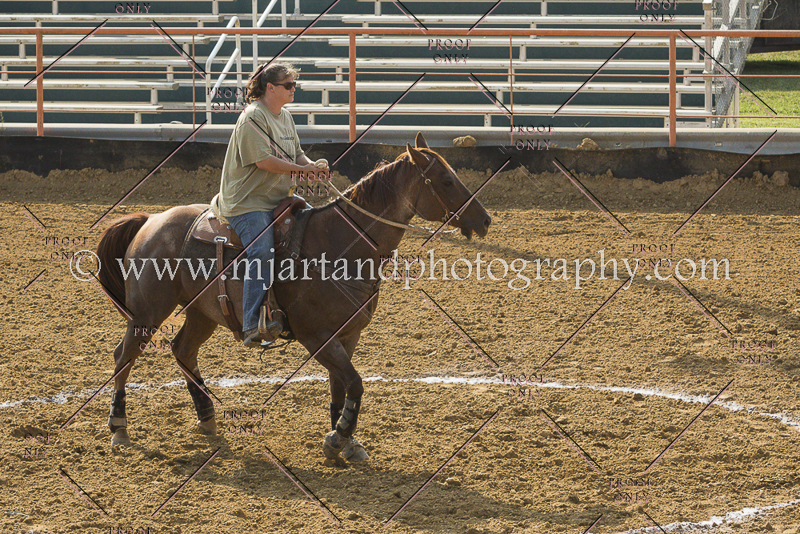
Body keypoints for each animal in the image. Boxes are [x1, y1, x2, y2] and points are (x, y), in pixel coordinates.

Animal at [95, 132, 491, 460]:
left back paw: (207, 418)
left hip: (202, 313)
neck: (340, 246)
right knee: (124, 356)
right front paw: (337, 439)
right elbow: (355, 383)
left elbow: (341, 387)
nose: (485, 219)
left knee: (183, 351)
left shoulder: (347, 335)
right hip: (148, 312)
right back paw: (119, 428)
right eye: (445, 180)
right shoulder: (316, 336)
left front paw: (346, 441)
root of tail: (150, 220)